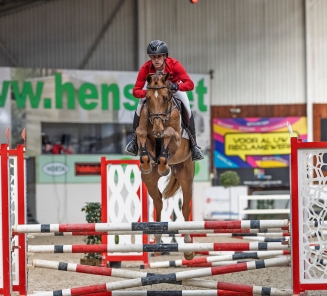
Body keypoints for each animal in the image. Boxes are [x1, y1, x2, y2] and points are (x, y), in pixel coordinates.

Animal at [135, 73, 195, 260]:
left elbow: (169, 134)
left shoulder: (176, 139)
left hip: (186, 175)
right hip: (149, 180)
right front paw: (148, 162)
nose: (157, 130)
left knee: (185, 208)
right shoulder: (146, 133)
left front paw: (163, 164)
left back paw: (188, 247)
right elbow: (141, 132)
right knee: (159, 202)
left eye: (165, 97)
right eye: (147, 98)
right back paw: (157, 238)